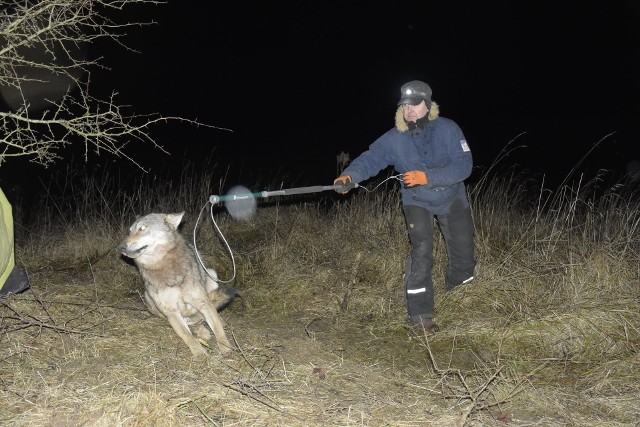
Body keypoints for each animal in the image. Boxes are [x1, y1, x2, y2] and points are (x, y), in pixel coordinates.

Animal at [118, 213, 238, 358]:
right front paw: (199, 352)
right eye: (130, 231)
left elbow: (218, 329)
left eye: (142, 228)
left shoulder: (203, 303)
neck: (162, 264)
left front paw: (226, 347)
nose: (121, 247)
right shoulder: (172, 311)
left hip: (211, 274)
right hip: (148, 298)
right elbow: (188, 336)